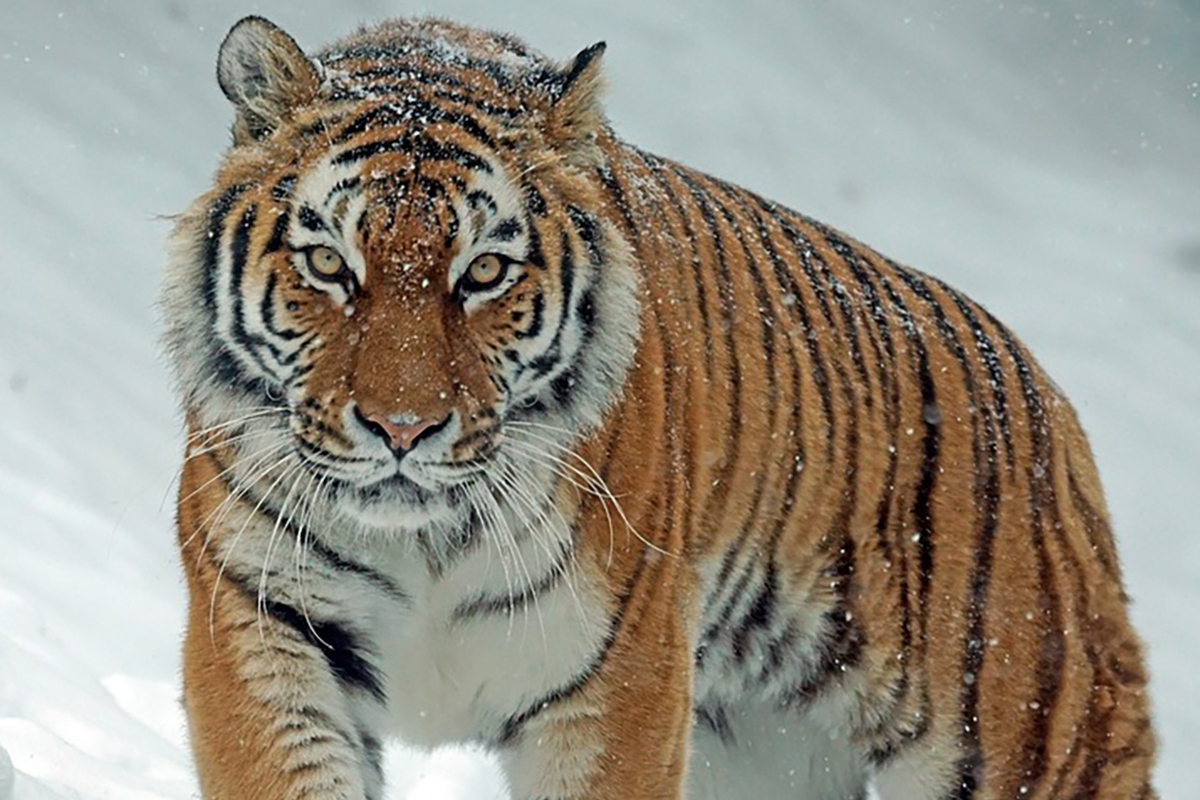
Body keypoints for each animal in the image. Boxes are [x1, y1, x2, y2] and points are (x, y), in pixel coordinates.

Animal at [164, 14, 1156, 800]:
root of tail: (1051, 404)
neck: (426, 542)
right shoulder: (262, 629)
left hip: (1036, 731)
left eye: (483, 272)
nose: (402, 430)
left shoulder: (619, 683)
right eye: (329, 263)